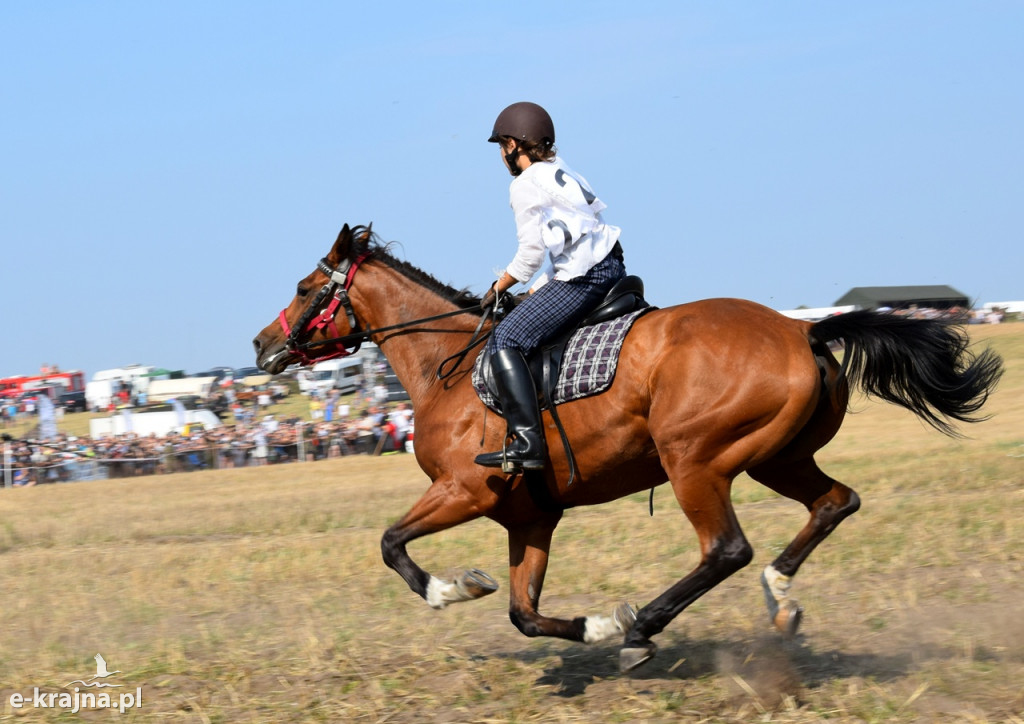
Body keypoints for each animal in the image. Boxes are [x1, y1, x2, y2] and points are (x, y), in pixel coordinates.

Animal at [251, 226, 1003, 675]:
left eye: (305, 288)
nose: (262, 344)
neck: (451, 368)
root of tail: (803, 331)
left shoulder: (466, 491)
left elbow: (391, 543)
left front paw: (450, 588)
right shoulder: (531, 517)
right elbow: (524, 613)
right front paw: (589, 628)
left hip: (694, 461)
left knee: (726, 550)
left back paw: (645, 627)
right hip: (776, 457)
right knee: (834, 503)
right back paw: (777, 598)